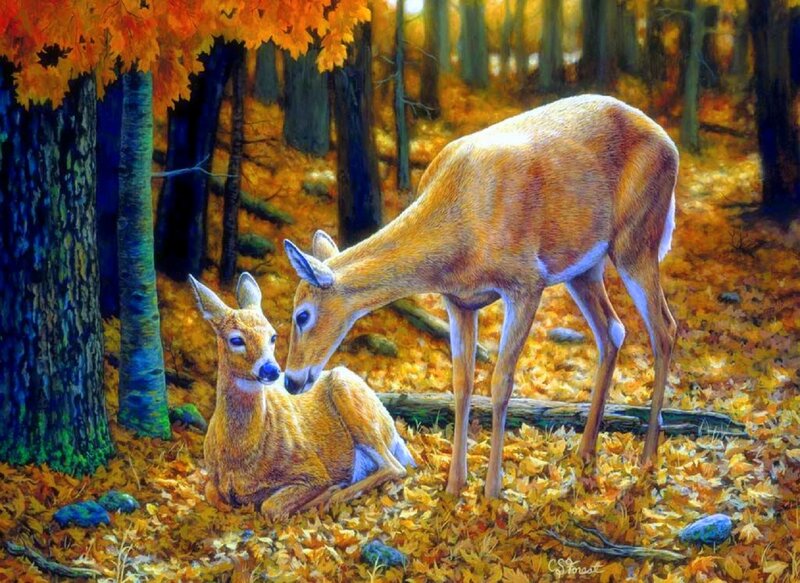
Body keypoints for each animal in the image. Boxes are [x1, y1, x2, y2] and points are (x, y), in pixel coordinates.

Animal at [188, 272, 415, 520]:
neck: (239, 456)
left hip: (348, 390)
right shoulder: (214, 481)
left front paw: (329, 491)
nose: (271, 370)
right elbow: (213, 495)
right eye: (236, 339)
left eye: (272, 336)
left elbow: (270, 506)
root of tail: (393, 431)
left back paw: (337, 492)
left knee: (395, 467)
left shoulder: (313, 469)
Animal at [281, 95, 679, 499]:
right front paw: (454, 486)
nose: (291, 381)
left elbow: (501, 381)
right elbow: (462, 383)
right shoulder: (458, 301)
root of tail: (670, 144)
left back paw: (647, 458)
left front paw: (492, 490)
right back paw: (586, 455)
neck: (457, 233)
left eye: (302, 315)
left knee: (664, 328)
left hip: (637, 236)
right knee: (612, 331)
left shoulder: (526, 281)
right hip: (584, 266)